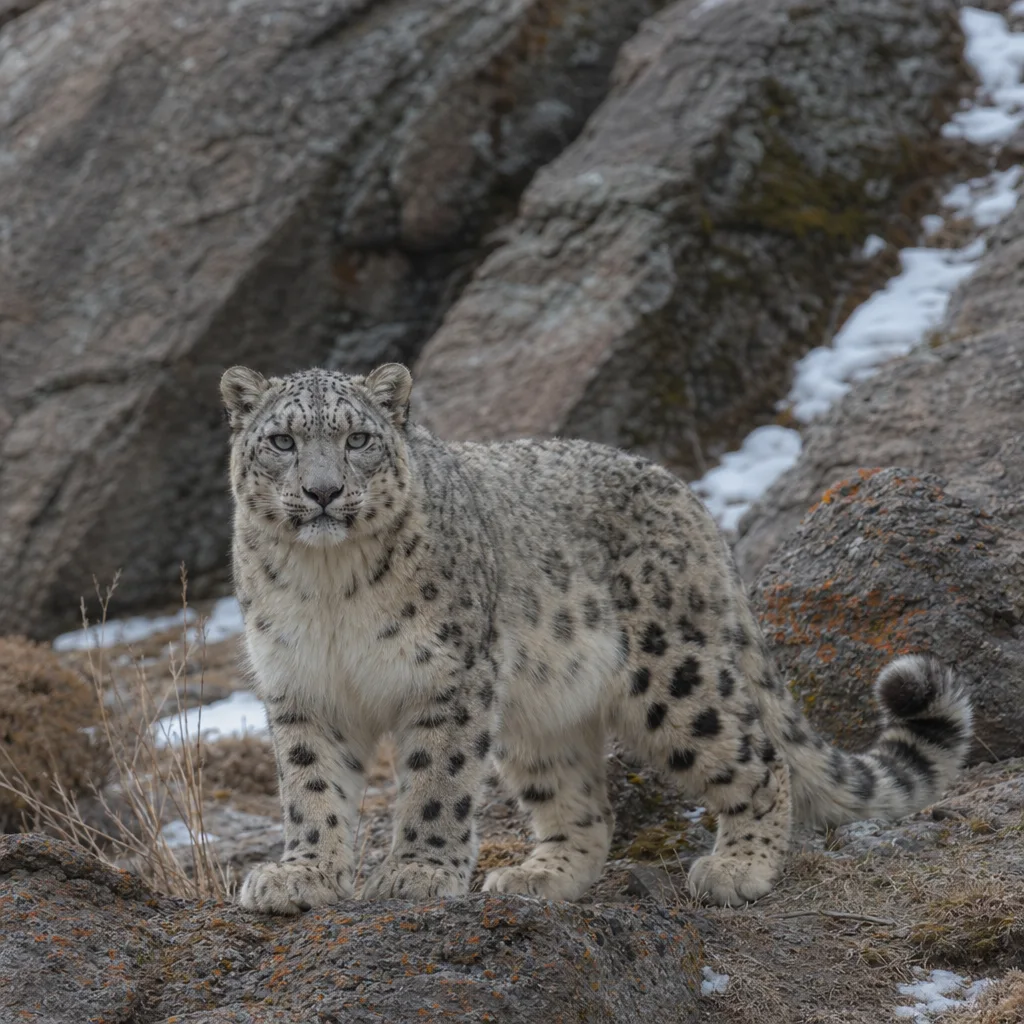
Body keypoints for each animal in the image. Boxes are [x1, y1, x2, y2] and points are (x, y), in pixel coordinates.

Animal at [220, 362, 972, 912]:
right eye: (282, 441)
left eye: (358, 439)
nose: (322, 492)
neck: (329, 586)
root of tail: (690, 500)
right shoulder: (301, 687)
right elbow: (312, 787)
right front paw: (301, 874)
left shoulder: (447, 677)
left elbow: (437, 779)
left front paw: (417, 872)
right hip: (542, 713)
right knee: (583, 805)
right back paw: (540, 875)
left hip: (676, 677)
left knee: (760, 757)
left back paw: (738, 867)